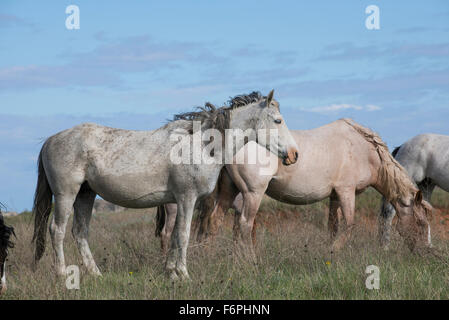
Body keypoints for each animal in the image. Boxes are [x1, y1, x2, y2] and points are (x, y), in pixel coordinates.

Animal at [31, 90, 298, 280]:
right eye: (278, 120)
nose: (294, 154)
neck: (201, 145)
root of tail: (51, 140)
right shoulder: (187, 198)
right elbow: (183, 234)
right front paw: (183, 274)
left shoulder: (179, 201)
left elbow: (174, 236)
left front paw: (171, 271)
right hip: (66, 194)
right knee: (57, 230)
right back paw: (61, 274)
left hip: (86, 194)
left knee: (80, 232)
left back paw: (96, 273)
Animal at [157, 118, 430, 258]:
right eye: (420, 223)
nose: (425, 252)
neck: (363, 149)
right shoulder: (346, 191)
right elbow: (349, 225)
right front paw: (333, 251)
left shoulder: (334, 197)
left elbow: (334, 227)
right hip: (252, 193)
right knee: (244, 225)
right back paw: (249, 261)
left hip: (228, 191)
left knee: (213, 222)